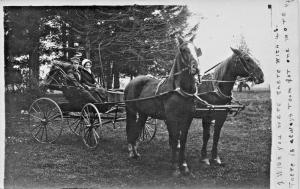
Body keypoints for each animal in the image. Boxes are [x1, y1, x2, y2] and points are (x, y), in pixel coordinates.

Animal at [123, 35, 203, 176]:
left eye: (196, 49)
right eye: (183, 49)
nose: (196, 68)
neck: (179, 90)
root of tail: (131, 82)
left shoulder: (188, 118)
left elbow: (183, 140)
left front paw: (184, 166)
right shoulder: (171, 119)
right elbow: (175, 139)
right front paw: (175, 168)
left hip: (143, 114)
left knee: (137, 129)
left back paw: (136, 153)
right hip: (131, 111)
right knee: (131, 129)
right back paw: (132, 151)